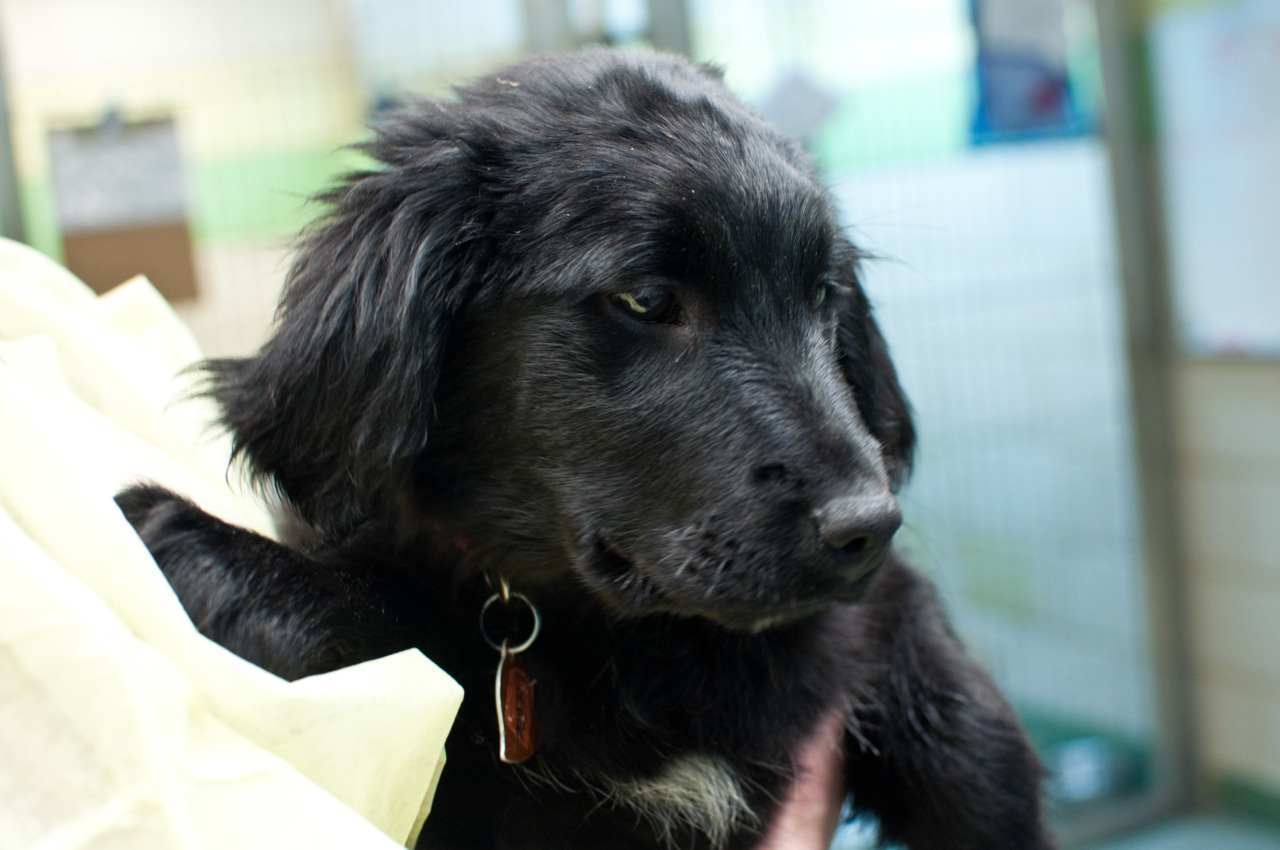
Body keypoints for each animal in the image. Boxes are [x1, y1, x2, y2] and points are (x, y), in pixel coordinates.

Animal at [120, 48, 1054, 850]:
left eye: (824, 296)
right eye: (645, 299)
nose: (869, 526)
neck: (640, 646)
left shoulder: (871, 624)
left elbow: (965, 726)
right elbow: (397, 642)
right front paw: (202, 547)